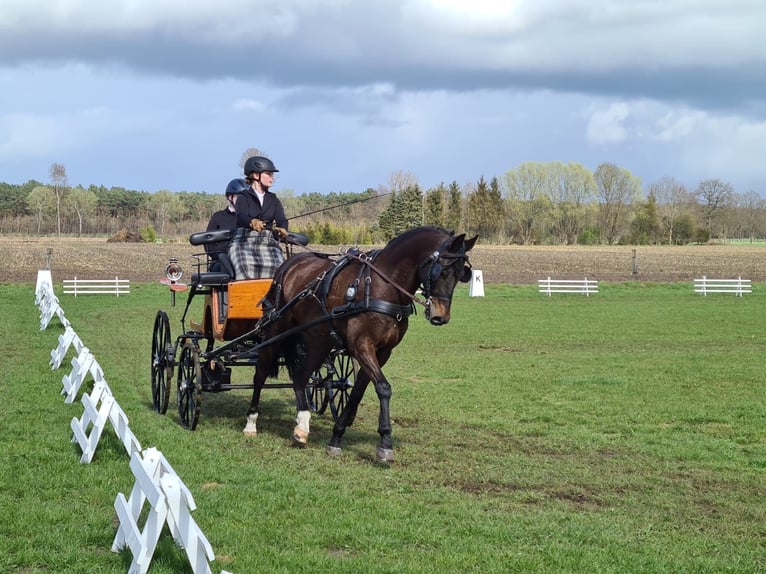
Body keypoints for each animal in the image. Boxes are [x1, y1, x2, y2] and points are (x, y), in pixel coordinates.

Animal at [243, 226, 476, 464]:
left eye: (462, 274)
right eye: (443, 271)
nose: (441, 316)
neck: (381, 286)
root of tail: (290, 263)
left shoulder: (383, 352)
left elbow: (357, 392)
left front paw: (336, 437)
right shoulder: (362, 346)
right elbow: (383, 388)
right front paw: (385, 443)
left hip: (320, 341)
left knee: (300, 376)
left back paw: (302, 427)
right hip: (276, 329)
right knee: (260, 373)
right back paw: (251, 423)